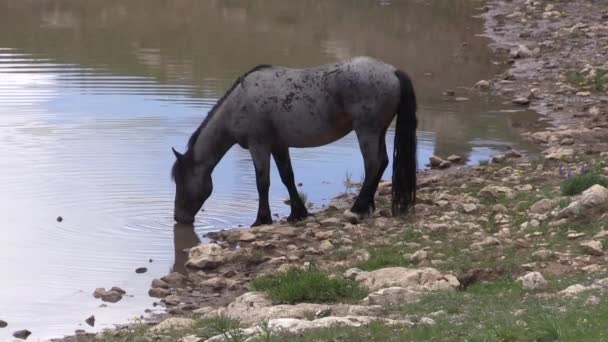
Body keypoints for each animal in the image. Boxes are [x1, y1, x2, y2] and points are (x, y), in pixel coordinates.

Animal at [171, 57, 418, 226]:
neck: (238, 104)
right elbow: (287, 177)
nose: (178, 217)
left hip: (366, 131)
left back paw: (357, 209)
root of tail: (392, 71)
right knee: (382, 162)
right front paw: (297, 214)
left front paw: (261, 219)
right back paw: (367, 206)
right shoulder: (279, 146)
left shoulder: (259, 145)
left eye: (181, 181)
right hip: (379, 131)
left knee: (373, 164)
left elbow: (263, 182)